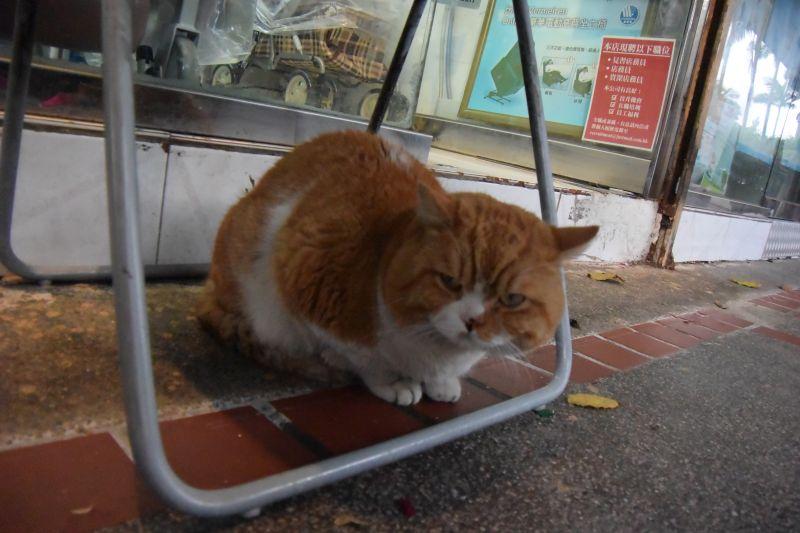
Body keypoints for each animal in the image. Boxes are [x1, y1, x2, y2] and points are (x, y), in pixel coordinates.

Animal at [196, 131, 598, 405]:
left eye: (512, 299)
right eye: (449, 281)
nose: (473, 321)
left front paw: (441, 385)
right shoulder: (300, 268)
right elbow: (360, 356)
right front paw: (390, 381)